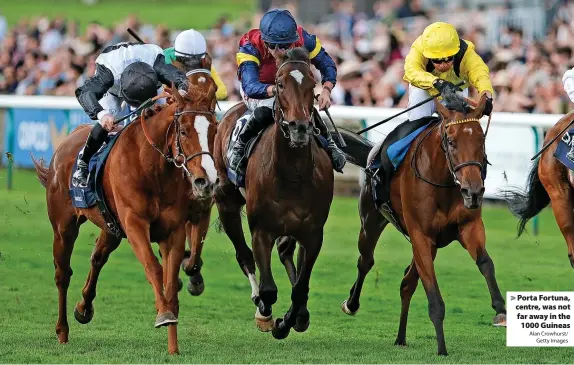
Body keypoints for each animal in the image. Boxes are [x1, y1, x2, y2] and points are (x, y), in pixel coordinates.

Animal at [32, 76, 220, 352]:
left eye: (214, 130)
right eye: (184, 131)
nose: (206, 181)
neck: (151, 167)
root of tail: (64, 145)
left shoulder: (173, 231)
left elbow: (170, 283)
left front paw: (173, 346)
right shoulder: (134, 224)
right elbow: (153, 267)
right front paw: (163, 315)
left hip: (110, 227)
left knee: (97, 258)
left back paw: (83, 309)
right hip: (64, 227)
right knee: (62, 274)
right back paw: (62, 331)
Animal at [214, 47, 336, 336]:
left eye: (312, 85)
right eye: (279, 85)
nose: (299, 127)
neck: (293, 173)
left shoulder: (312, 232)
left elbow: (301, 287)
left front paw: (292, 318)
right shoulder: (262, 229)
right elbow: (269, 289)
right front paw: (269, 317)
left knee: (286, 254)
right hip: (226, 202)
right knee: (244, 256)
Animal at [338, 94, 508, 356]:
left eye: (481, 140)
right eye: (451, 141)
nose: (473, 191)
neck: (444, 182)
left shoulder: (468, 227)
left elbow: (485, 263)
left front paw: (500, 310)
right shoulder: (421, 235)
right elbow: (434, 298)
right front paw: (442, 348)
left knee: (406, 283)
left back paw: (400, 338)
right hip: (371, 221)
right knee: (365, 261)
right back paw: (352, 304)